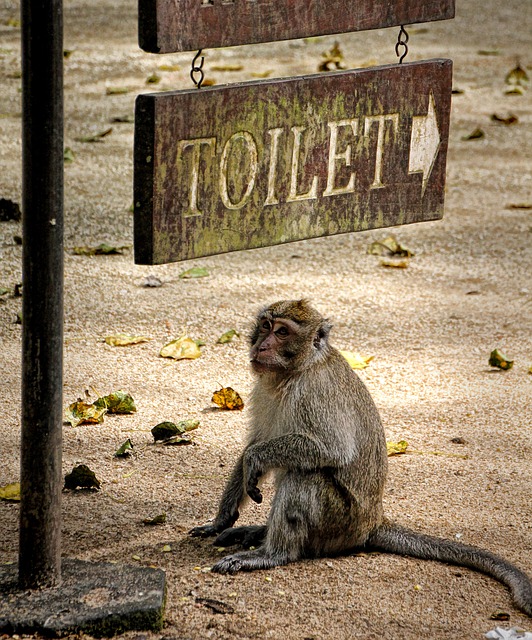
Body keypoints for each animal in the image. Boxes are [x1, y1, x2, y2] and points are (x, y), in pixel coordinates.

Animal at [190, 299, 532, 616]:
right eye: (265, 325)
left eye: (283, 332)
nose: (262, 345)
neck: (296, 370)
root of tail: (373, 522)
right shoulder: (264, 389)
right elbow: (253, 444)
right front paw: (221, 519)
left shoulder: (315, 393)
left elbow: (330, 449)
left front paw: (255, 460)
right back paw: (258, 533)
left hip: (340, 521)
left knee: (305, 474)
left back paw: (272, 553)